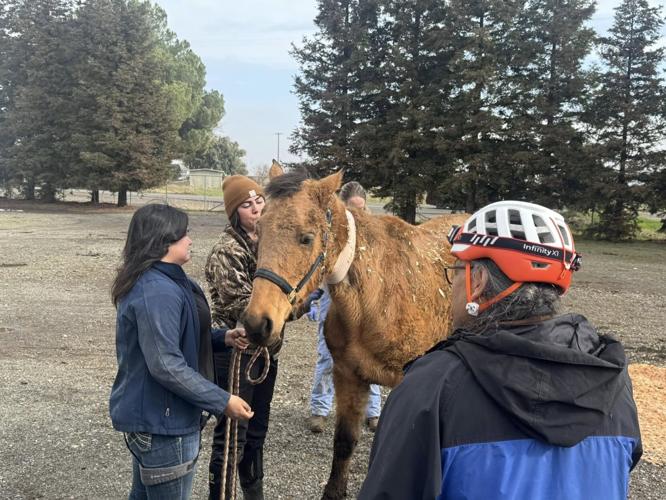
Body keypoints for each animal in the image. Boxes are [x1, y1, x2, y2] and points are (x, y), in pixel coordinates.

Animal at [243, 162, 467, 499]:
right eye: (258, 232)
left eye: (306, 238)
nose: (258, 324)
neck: (376, 296)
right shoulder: (347, 376)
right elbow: (344, 443)